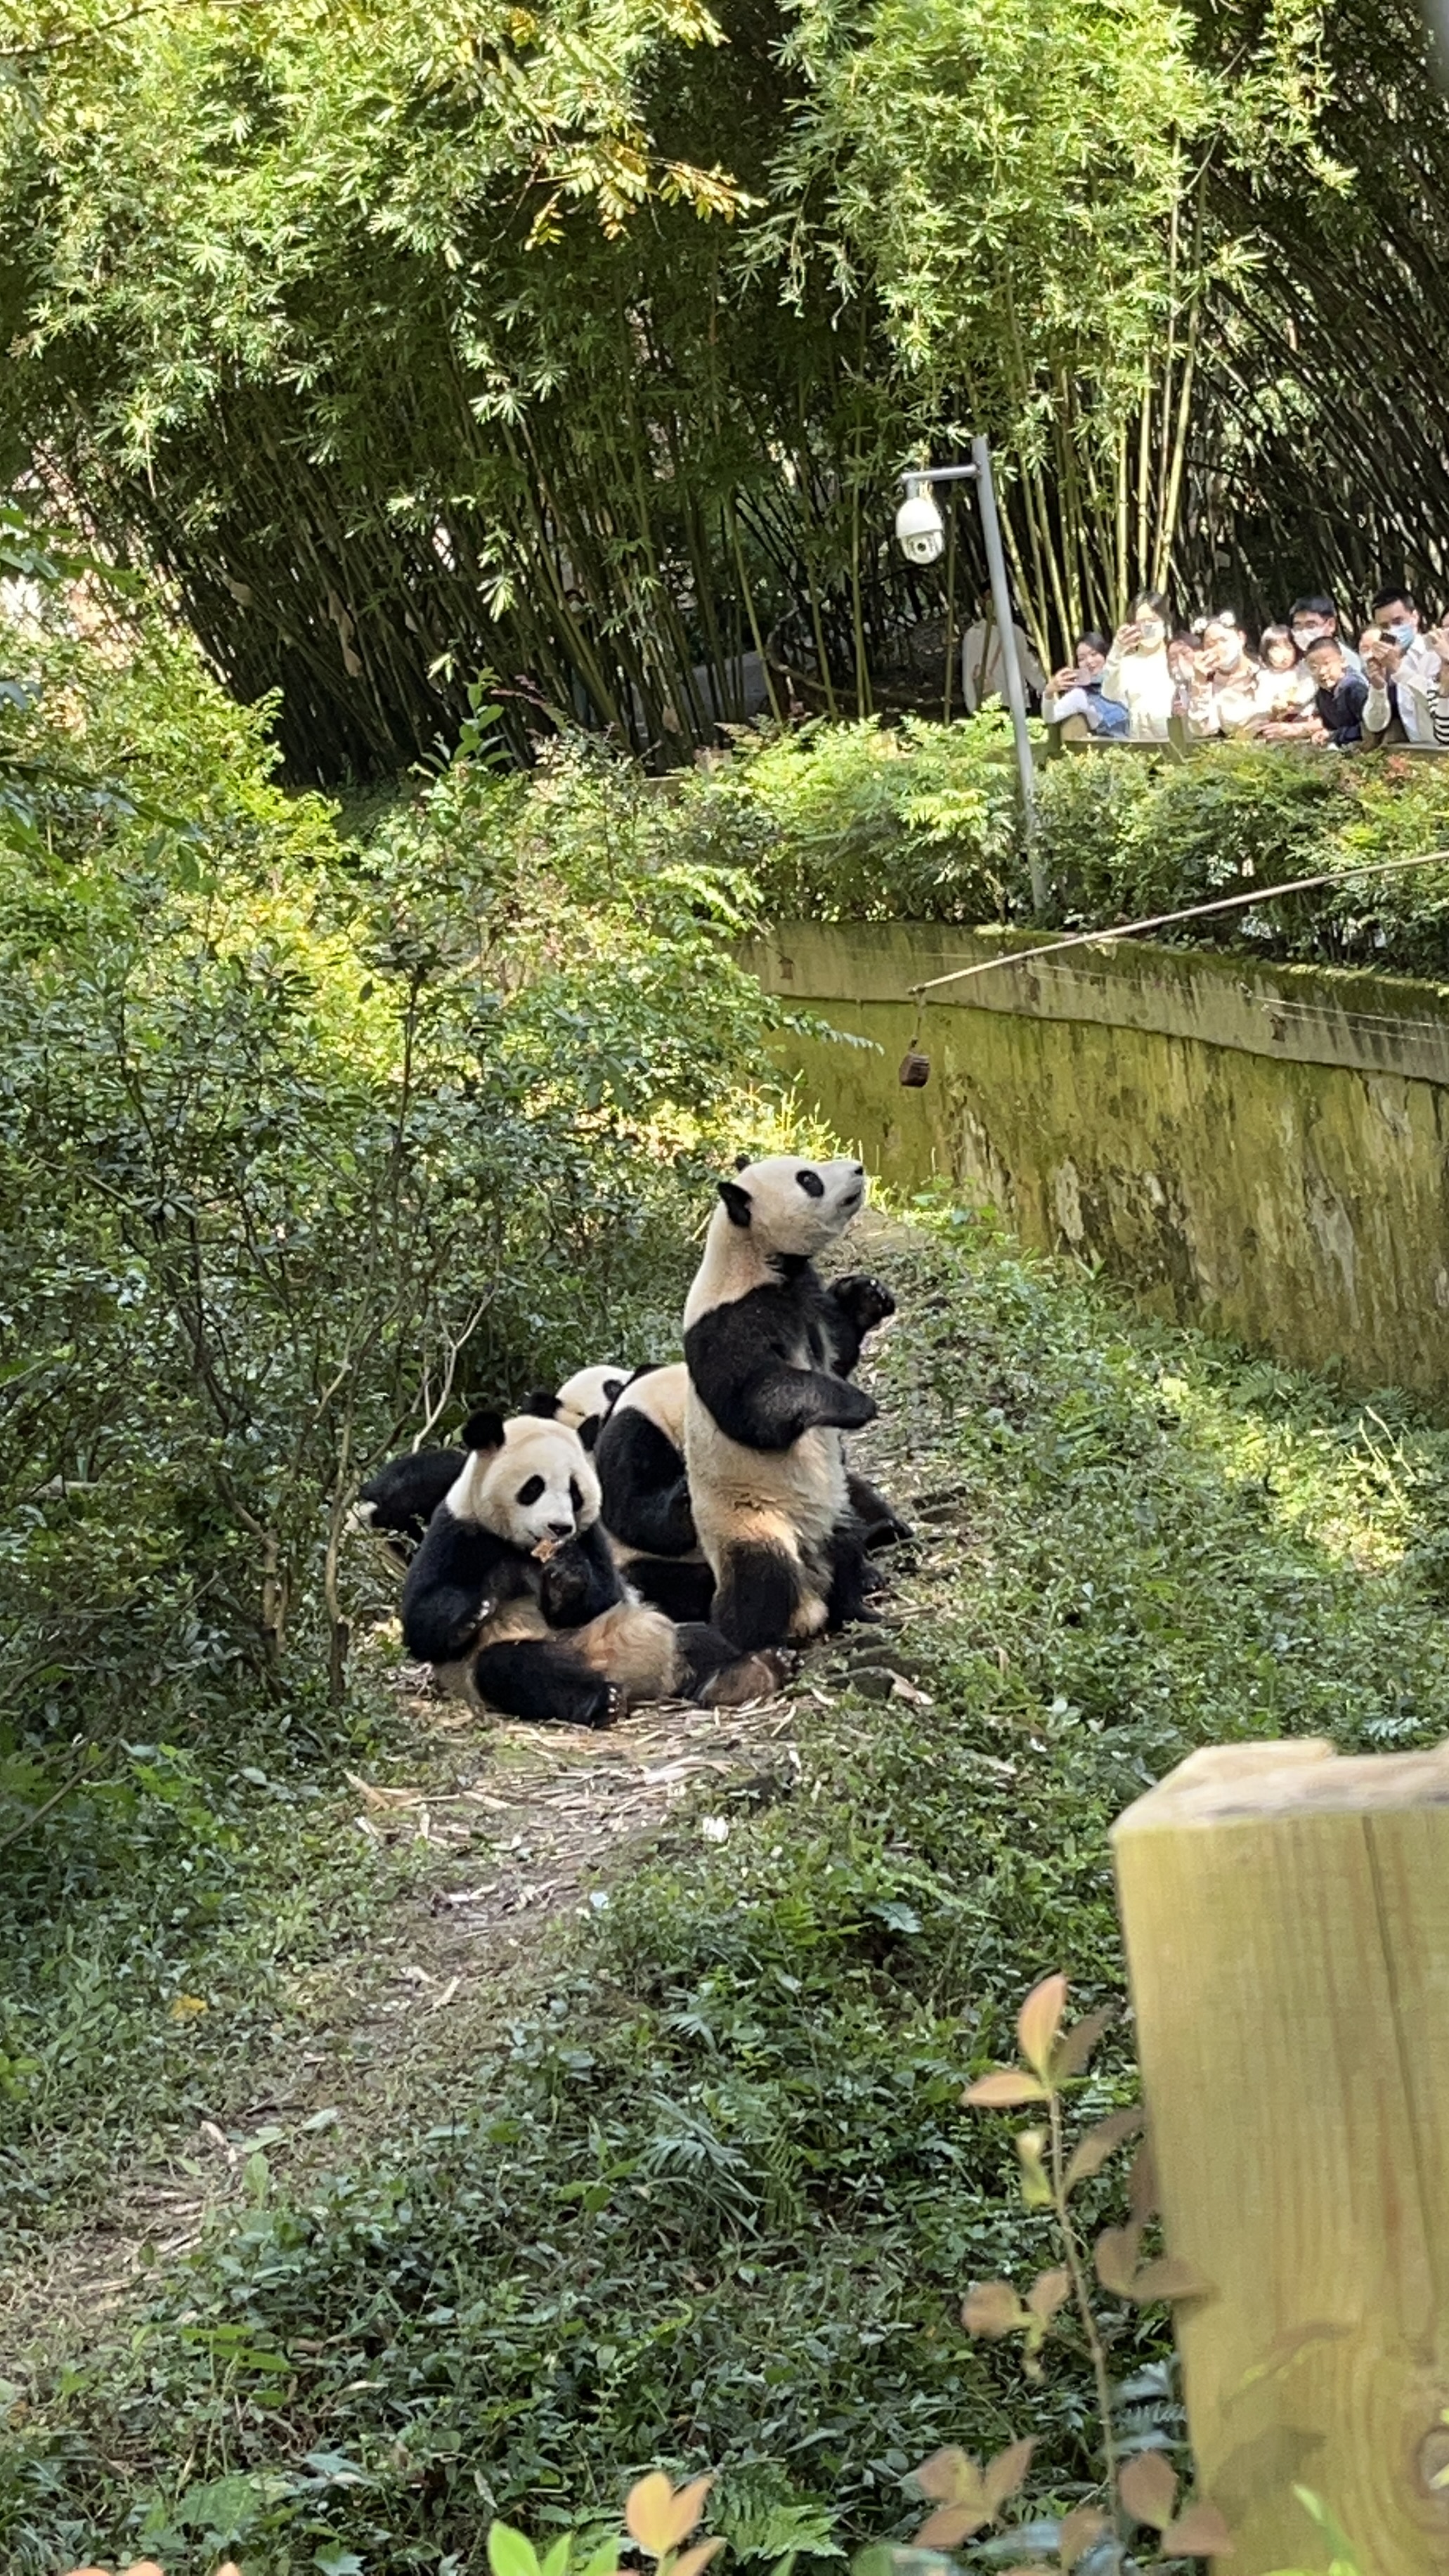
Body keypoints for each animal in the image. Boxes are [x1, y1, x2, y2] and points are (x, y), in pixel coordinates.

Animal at [401, 1406, 783, 1726]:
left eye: (575, 1492)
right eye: (534, 1487)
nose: (559, 1528)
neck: (524, 1551)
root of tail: (630, 1674)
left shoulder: (590, 1537)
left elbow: (603, 1593)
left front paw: (567, 1575)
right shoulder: (459, 1532)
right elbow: (421, 1625)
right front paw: (472, 1612)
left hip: (648, 1627)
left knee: (699, 1639)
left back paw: (751, 1673)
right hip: (516, 1663)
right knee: (515, 1670)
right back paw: (604, 1701)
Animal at [682, 1154, 897, 1651]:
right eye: (809, 1180)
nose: (858, 1168)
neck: (757, 1259)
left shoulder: (806, 1299)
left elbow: (839, 1349)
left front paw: (868, 1294)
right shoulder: (731, 1322)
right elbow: (753, 1403)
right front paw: (857, 1404)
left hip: (833, 1507)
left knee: (846, 1546)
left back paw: (857, 1609)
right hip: (752, 1519)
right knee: (765, 1577)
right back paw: (757, 1637)